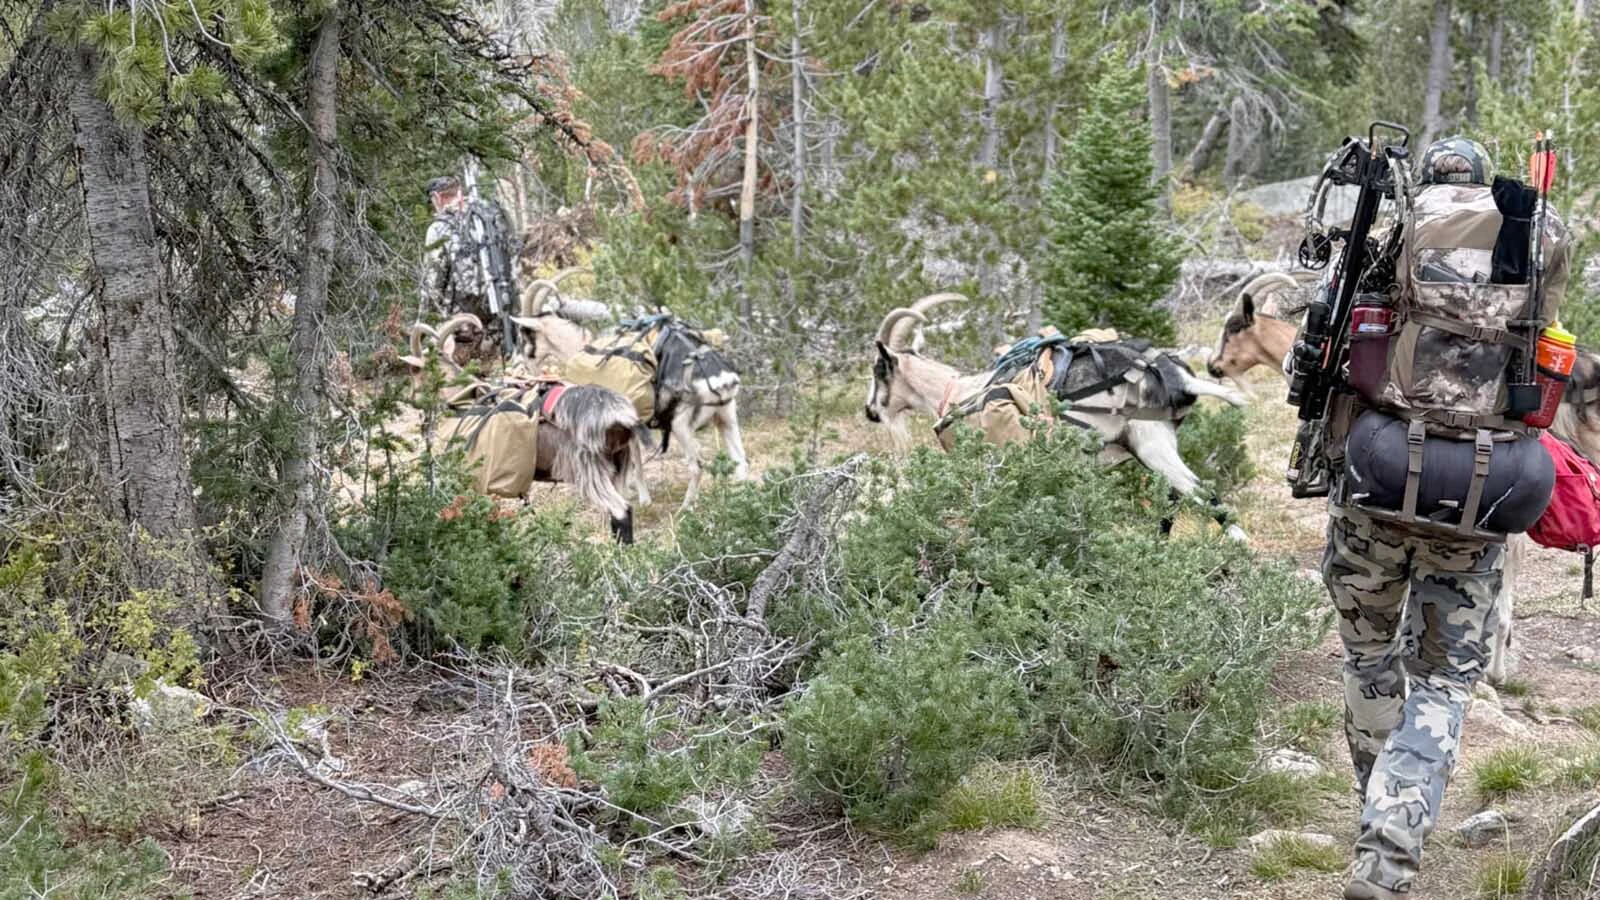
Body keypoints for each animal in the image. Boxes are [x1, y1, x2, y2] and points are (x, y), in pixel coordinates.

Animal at [404, 314, 648, 543]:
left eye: (414, 371)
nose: (411, 399)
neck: (462, 400)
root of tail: (622, 416)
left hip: (589, 468)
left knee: (621, 510)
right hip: (616, 465)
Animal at [513, 272, 748, 508]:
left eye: (525, 334)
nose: (524, 368)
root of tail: (720, 380)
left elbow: (635, 458)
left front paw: (642, 498)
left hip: (681, 424)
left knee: (697, 464)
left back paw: (686, 508)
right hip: (727, 417)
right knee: (740, 461)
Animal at [864, 294, 1251, 539]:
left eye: (878, 371)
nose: (870, 411)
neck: (958, 392)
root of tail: (1178, 377)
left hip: (1152, 444)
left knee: (1207, 497)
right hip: (1152, 445)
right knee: (1174, 500)